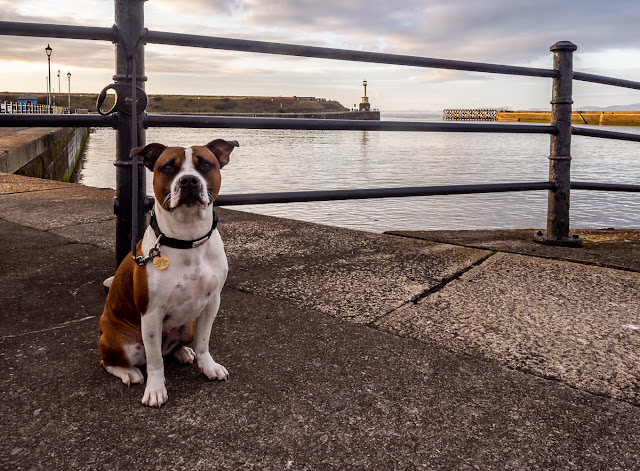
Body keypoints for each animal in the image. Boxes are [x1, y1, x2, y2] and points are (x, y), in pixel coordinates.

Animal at [99, 138, 239, 408]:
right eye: (167, 167)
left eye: (206, 164)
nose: (189, 181)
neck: (187, 239)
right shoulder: (152, 314)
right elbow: (155, 362)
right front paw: (156, 389)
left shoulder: (211, 303)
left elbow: (204, 342)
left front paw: (208, 366)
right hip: (119, 343)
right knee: (113, 362)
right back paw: (129, 373)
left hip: (188, 326)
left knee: (172, 349)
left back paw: (183, 351)